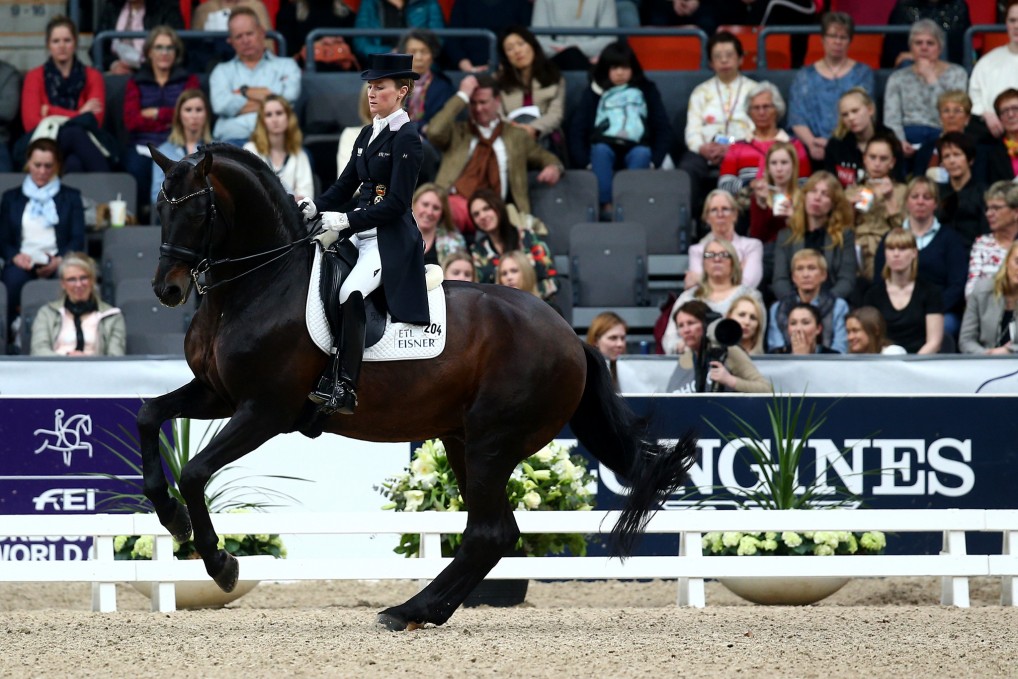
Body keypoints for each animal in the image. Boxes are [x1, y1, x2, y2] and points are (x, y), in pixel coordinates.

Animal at [142, 143, 697, 631]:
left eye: (197, 211)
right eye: (160, 209)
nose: (167, 290)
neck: (262, 284)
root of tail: (570, 337)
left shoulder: (265, 411)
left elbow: (194, 471)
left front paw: (221, 564)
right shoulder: (218, 395)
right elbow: (149, 415)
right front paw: (171, 517)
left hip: (493, 441)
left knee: (486, 532)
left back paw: (408, 610)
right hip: (463, 440)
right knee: (497, 533)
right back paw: (422, 611)